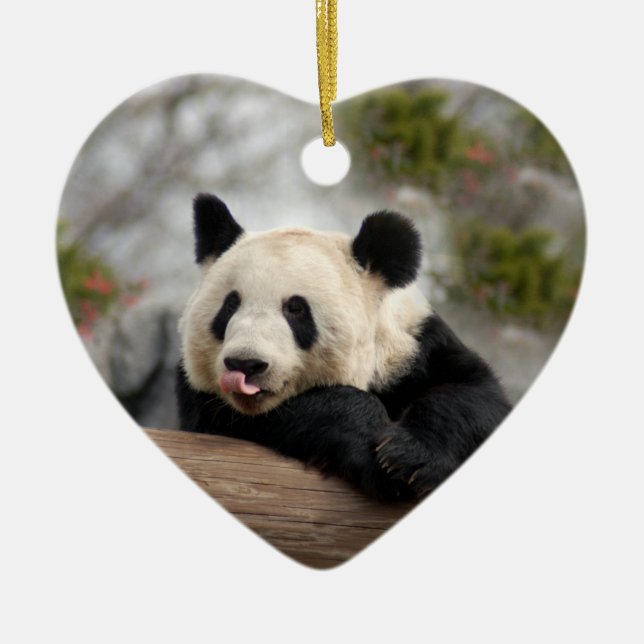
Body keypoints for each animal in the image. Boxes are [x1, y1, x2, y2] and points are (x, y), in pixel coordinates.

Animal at [176, 193, 512, 500]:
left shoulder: (416, 347)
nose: (245, 364)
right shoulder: (210, 407)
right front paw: (372, 453)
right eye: (230, 305)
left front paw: (405, 459)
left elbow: (475, 395)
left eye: (296, 309)